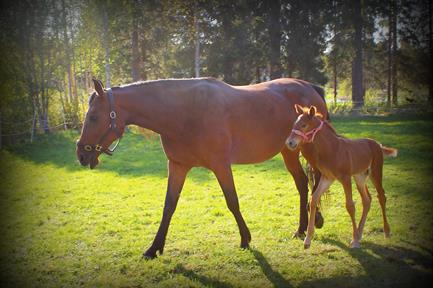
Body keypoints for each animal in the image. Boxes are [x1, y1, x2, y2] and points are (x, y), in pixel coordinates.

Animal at [77, 77, 328, 258]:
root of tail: (311, 88)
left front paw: (245, 239)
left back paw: (311, 222)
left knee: (314, 182)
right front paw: (154, 248)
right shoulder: (178, 166)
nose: (81, 154)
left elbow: (232, 201)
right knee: (303, 184)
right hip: (289, 151)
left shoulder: (221, 165)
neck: (185, 113)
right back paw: (303, 227)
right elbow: (168, 206)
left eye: (93, 117)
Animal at [286, 104, 396, 249]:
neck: (332, 149)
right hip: (360, 177)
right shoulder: (328, 178)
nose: (289, 142)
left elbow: (350, 205)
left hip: (375, 172)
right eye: (294, 123)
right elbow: (313, 200)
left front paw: (354, 241)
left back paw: (386, 231)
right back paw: (360, 233)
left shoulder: (345, 178)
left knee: (381, 196)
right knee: (367, 200)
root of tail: (378, 144)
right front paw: (308, 240)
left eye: (304, 125)